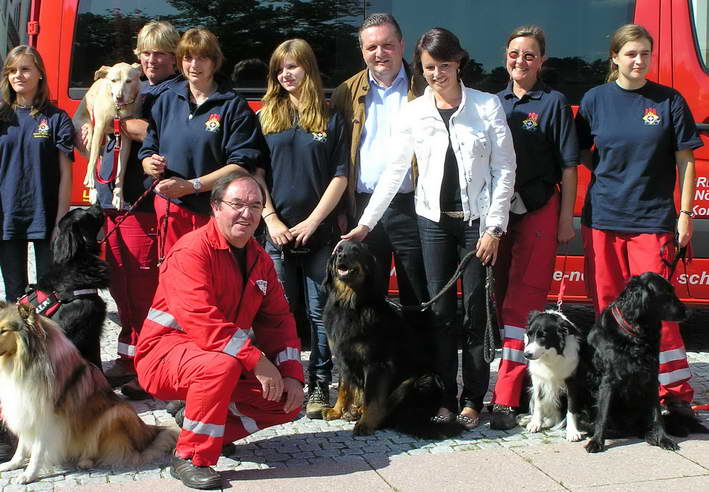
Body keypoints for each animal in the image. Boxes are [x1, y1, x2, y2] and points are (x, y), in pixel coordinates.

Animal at [73, 62, 142, 209]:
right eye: (113, 81)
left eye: (129, 81)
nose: (119, 97)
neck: (118, 109)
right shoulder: (99, 128)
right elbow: (93, 159)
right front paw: (91, 179)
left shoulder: (126, 138)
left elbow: (121, 169)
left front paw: (118, 196)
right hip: (86, 133)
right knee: (91, 156)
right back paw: (93, 190)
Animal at [322, 240, 464, 436]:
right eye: (338, 251)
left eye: (356, 251)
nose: (342, 256)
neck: (350, 303)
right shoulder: (343, 357)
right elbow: (344, 387)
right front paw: (336, 410)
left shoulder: (376, 363)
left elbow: (372, 398)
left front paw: (365, 423)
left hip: (421, 380)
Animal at [524, 308, 584, 442]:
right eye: (529, 334)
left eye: (543, 336)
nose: (526, 354)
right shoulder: (537, 378)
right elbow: (539, 402)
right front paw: (535, 423)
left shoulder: (572, 379)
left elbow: (571, 407)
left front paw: (572, 432)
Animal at [584, 270, 704, 452]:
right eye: (667, 293)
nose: (689, 312)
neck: (634, 335)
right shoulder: (608, 381)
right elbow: (602, 415)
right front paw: (597, 441)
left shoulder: (652, 378)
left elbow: (657, 416)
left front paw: (663, 439)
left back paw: (651, 436)